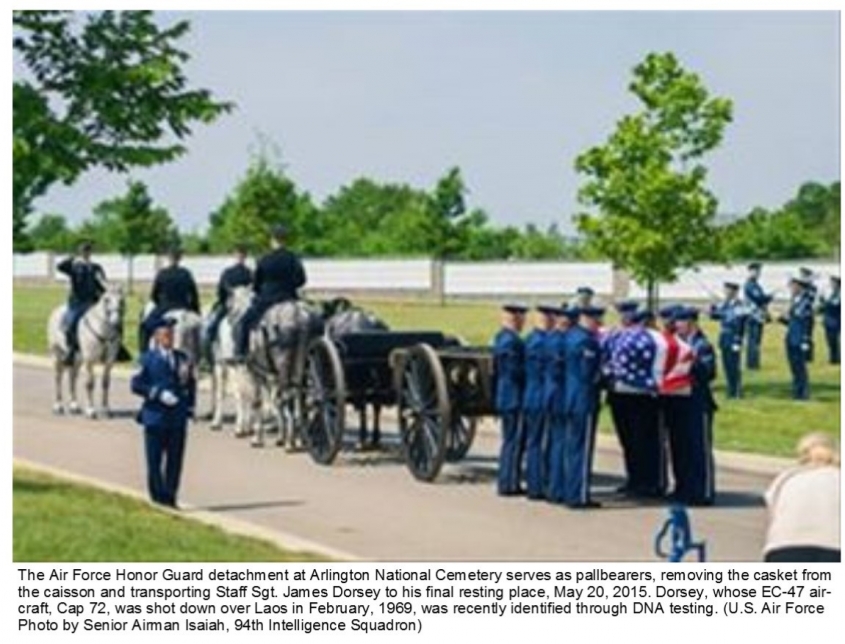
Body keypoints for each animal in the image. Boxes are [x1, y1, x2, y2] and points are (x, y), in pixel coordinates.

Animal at [47, 286, 127, 418]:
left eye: (122, 301)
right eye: (106, 300)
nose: (116, 323)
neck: (104, 331)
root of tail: (56, 311)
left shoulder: (109, 361)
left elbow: (106, 383)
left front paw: (105, 409)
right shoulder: (89, 360)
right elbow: (90, 383)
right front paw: (90, 410)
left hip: (78, 359)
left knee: (72, 377)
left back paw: (74, 406)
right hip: (56, 355)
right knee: (58, 378)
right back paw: (58, 406)